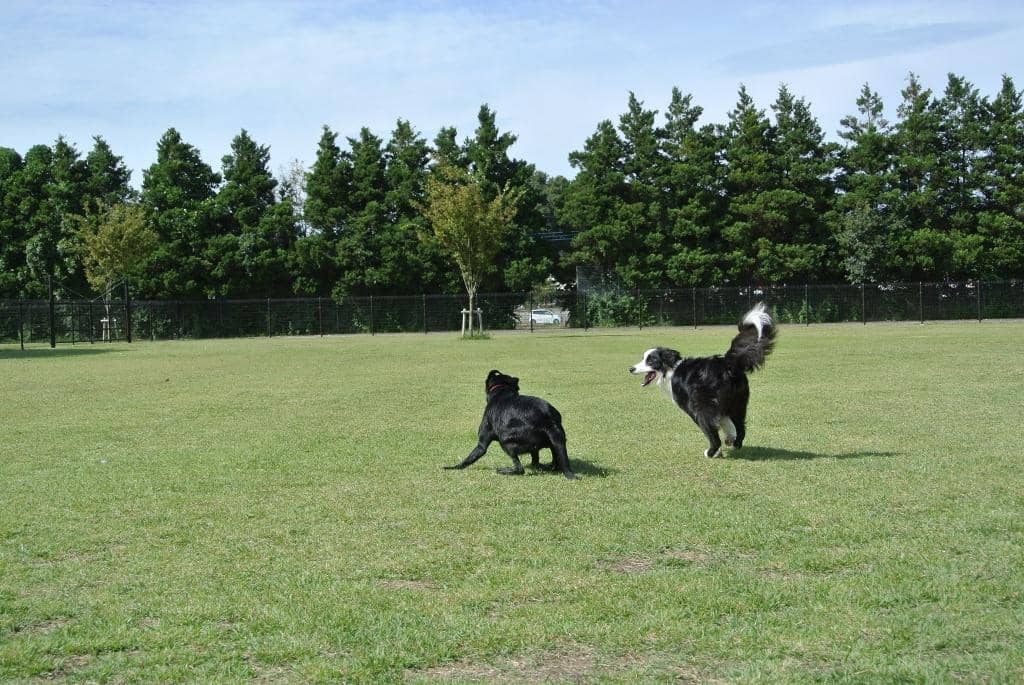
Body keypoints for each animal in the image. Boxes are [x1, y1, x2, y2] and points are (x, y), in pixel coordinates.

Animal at [446, 370, 581, 479]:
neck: (501, 392)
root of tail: (548, 419)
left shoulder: (482, 444)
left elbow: (470, 457)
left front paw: (453, 467)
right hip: (555, 439)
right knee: (544, 458)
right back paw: (548, 466)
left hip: (506, 441)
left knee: (520, 469)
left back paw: (504, 471)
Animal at [622, 301, 774, 456]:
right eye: (643, 358)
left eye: (650, 361)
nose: (631, 369)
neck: (671, 369)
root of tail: (726, 363)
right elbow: (726, 423)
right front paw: (730, 438)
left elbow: (716, 427)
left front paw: (720, 448)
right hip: (738, 403)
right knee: (741, 427)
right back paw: (736, 444)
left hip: (701, 407)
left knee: (713, 434)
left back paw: (711, 452)